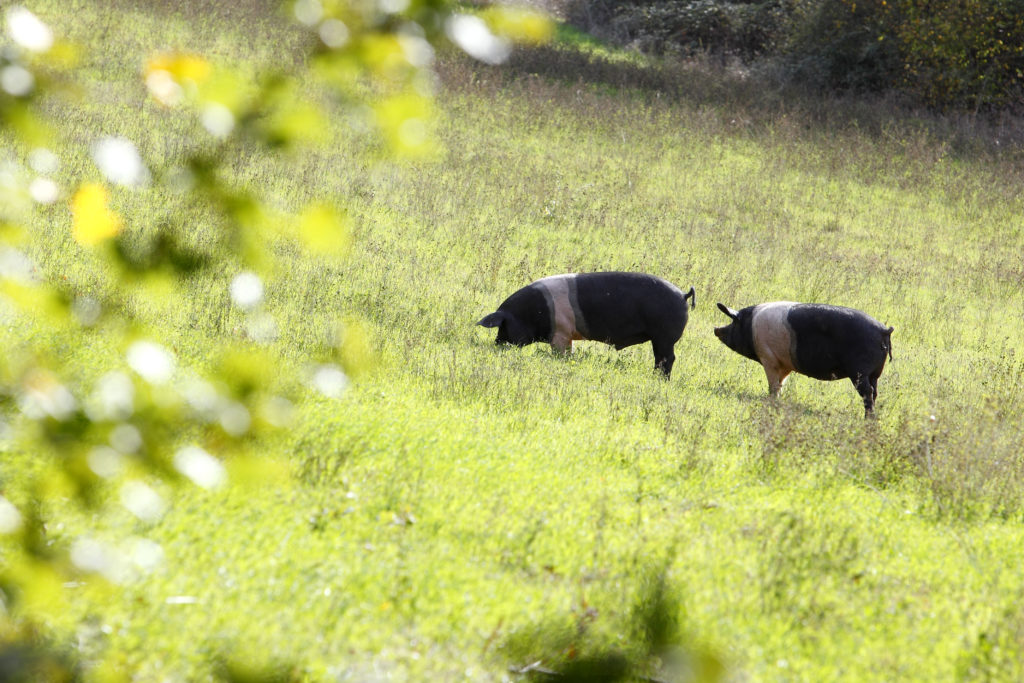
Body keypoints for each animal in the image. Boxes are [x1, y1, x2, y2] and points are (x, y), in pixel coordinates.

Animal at [475, 272, 692, 378]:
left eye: (503, 325)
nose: (497, 344)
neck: (533, 312)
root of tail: (683, 295)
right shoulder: (567, 335)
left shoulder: (560, 333)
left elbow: (560, 353)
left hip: (664, 336)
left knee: (667, 359)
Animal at [716, 303, 892, 417]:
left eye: (734, 322)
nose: (715, 329)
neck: (750, 327)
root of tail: (884, 330)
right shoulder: (785, 365)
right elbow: (781, 383)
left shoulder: (768, 358)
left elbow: (773, 385)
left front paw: (771, 400)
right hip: (875, 373)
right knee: (875, 392)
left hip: (859, 371)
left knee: (867, 392)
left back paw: (868, 418)